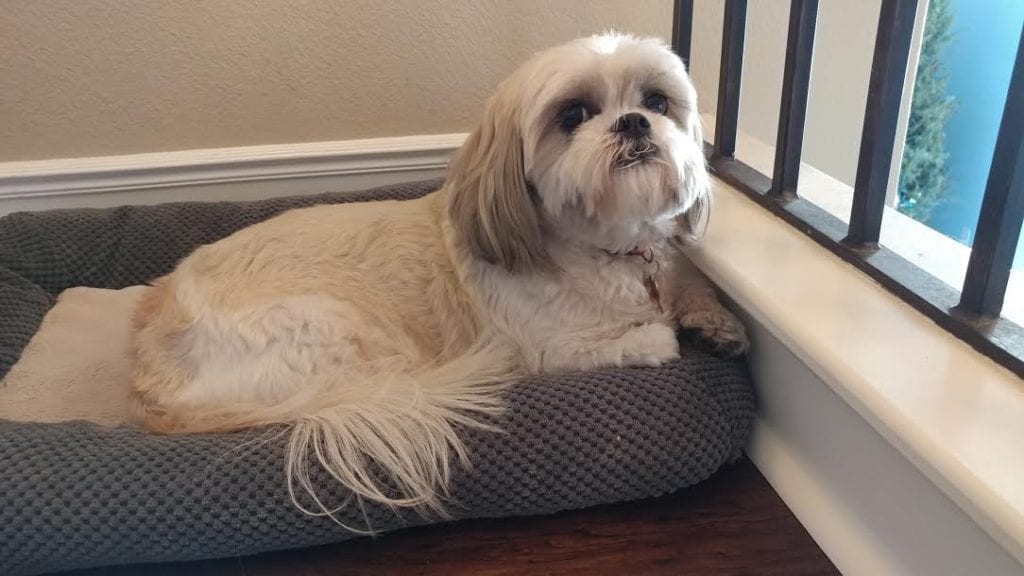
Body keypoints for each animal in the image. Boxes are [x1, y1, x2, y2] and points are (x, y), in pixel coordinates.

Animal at [132, 31, 749, 524]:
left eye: (657, 100)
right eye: (573, 114)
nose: (634, 120)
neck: (606, 249)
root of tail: (148, 375)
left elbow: (688, 284)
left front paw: (714, 320)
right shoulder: (544, 349)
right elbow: (624, 342)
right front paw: (655, 337)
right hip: (336, 331)